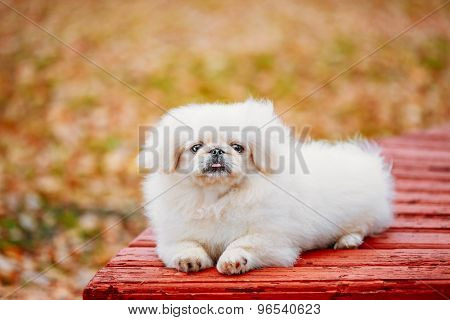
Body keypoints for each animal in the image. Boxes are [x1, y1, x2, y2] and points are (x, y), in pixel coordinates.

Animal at [142, 99, 394, 274]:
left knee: (363, 226)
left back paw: (347, 241)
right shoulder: (173, 237)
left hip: (363, 213)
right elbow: (185, 245)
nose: (216, 150)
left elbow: (242, 242)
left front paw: (233, 260)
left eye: (238, 147)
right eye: (196, 147)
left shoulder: (271, 239)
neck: (217, 198)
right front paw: (189, 259)